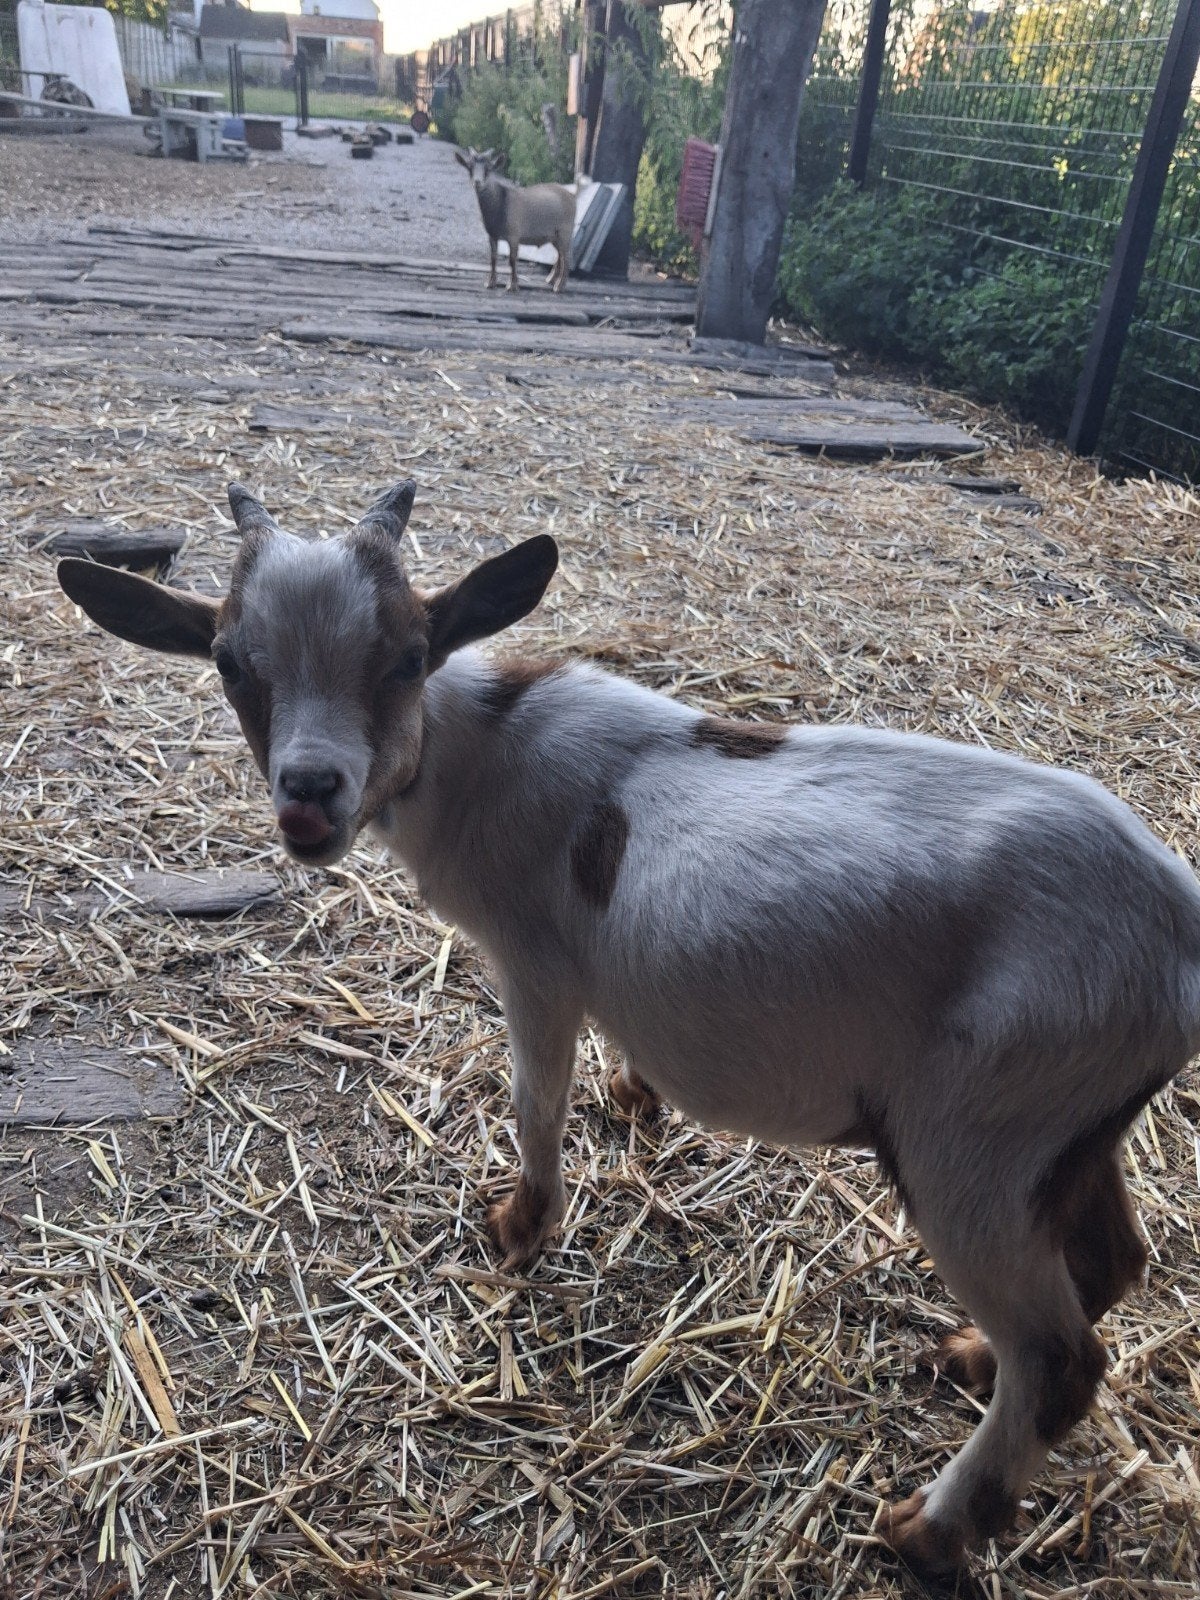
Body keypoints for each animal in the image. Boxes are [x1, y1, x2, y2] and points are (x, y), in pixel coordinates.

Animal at [57, 481, 1200, 1577]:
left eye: (408, 657)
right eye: (229, 663)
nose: (308, 796)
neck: (479, 751)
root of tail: (1180, 930)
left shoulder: (534, 963)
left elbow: (533, 1099)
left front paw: (520, 1227)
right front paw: (633, 1096)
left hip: (974, 1139)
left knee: (1059, 1360)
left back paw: (927, 1530)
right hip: (1062, 1124)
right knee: (1112, 1260)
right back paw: (967, 1357)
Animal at [455, 146, 575, 292]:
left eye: (488, 169)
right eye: (470, 167)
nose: (477, 182)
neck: (501, 201)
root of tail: (572, 196)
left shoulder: (513, 235)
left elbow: (512, 259)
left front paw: (512, 285)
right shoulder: (492, 235)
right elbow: (493, 258)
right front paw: (490, 283)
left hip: (565, 232)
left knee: (566, 257)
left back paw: (559, 286)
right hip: (554, 235)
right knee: (559, 256)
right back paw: (551, 280)